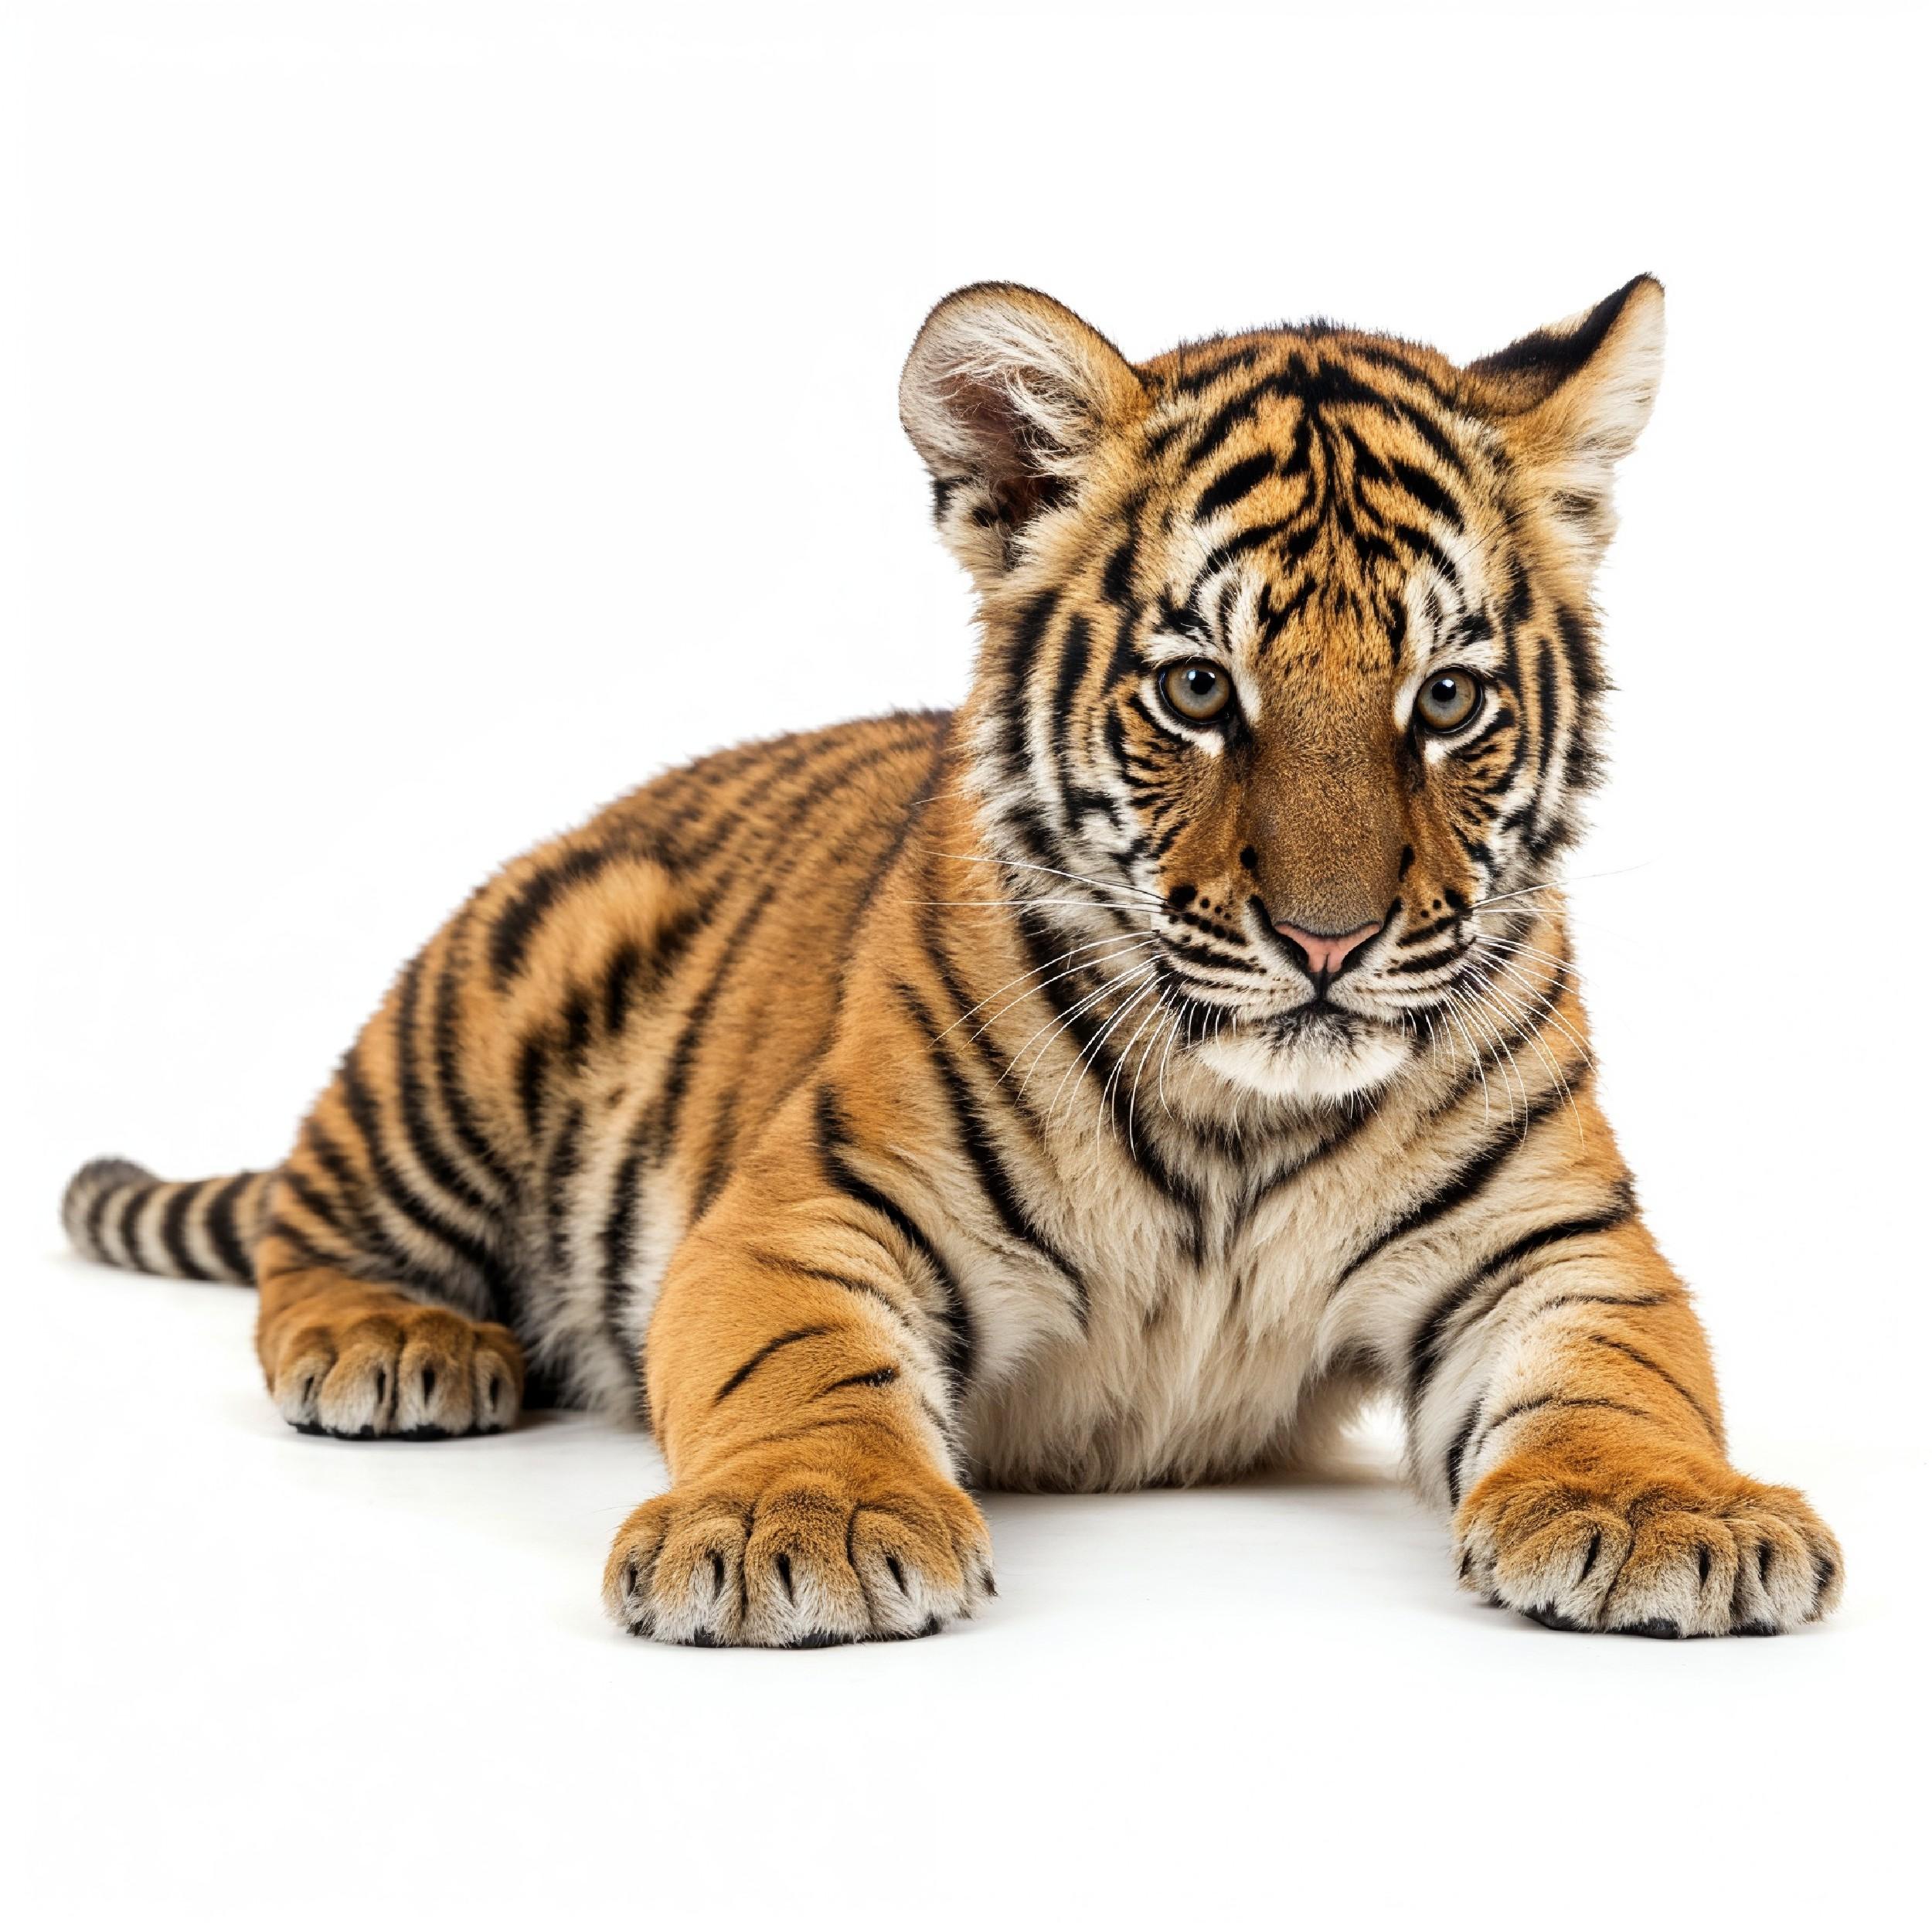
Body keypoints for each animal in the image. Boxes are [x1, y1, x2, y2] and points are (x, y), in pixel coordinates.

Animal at [61, 276, 1842, 1647]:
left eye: (1448, 698)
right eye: (1198, 690)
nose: (1328, 939)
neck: (1239, 1121)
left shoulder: (1555, 1245)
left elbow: (1627, 1381)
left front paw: (1674, 1516)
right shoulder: (805, 1210)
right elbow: (802, 1367)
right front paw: (801, 1524)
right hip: (480, 1014)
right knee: (307, 1231)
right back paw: (397, 1346)